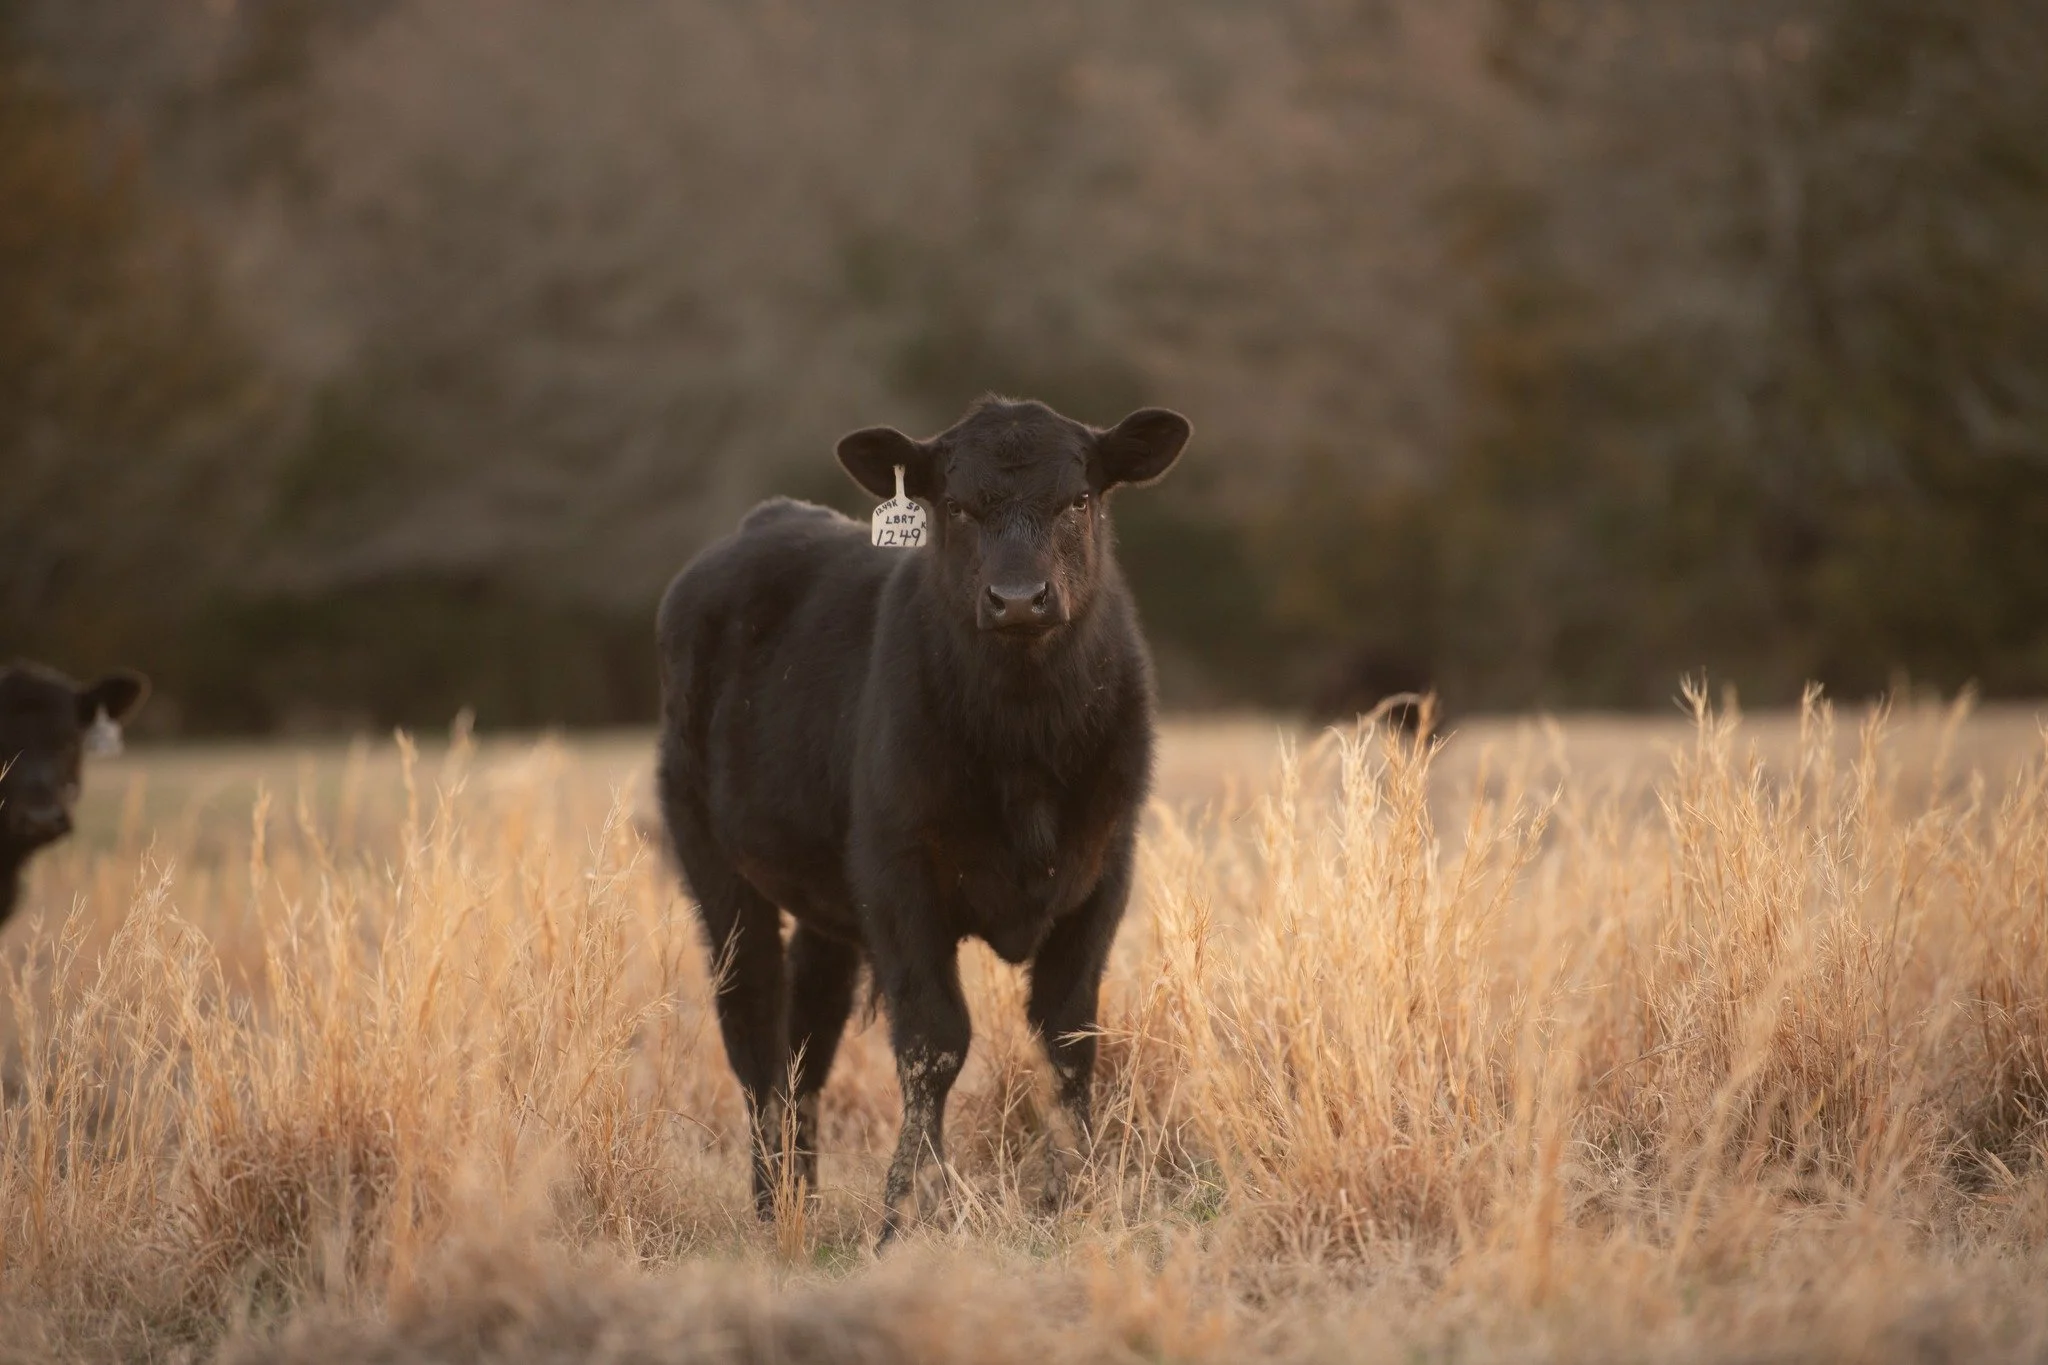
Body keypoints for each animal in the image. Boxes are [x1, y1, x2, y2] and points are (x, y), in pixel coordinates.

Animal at [655, 395, 1190, 1242]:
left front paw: (1078, 1191)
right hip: (714, 860)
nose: (1018, 597)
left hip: (828, 903)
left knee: (809, 1031)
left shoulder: (1105, 869)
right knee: (753, 1022)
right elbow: (935, 1039)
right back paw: (772, 1204)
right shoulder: (899, 875)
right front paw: (911, 1210)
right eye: (958, 506)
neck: (1024, 742)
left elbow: (1069, 1035)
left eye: (1078, 499)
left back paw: (803, 1194)